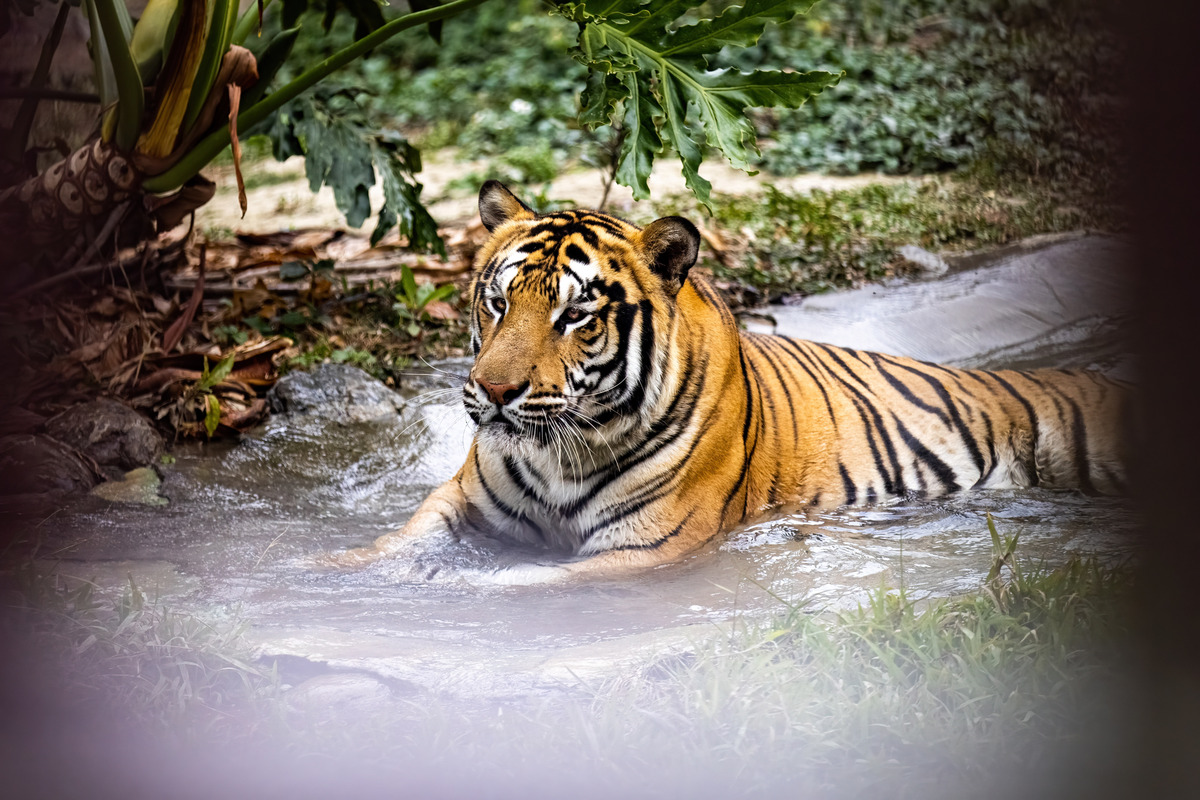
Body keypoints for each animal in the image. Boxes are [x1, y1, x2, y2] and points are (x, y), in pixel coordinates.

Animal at [327, 181, 1130, 583]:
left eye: (575, 315)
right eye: (498, 302)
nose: (494, 393)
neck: (558, 452)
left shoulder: (642, 550)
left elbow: (518, 584)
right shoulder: (461, 501)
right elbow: (397, 542)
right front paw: (329, 570)